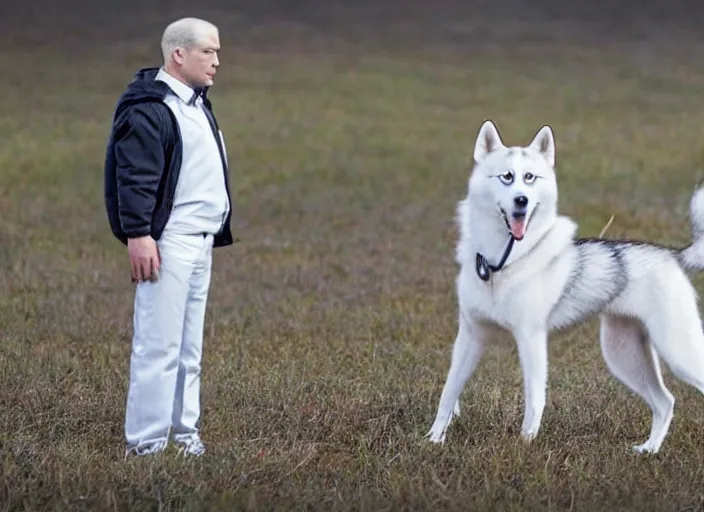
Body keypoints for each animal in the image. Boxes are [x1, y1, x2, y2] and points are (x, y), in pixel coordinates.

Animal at [426, 119, 704, 452]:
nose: (522, 201)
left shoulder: (530, 338)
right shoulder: (470, 335)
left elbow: (535, 398)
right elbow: (448, 392)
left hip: (678, 352)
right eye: (507, 177)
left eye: (529, 178)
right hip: (623, 356)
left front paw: (526, 444)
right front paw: (433, 439)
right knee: (665, 402)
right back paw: (648, 450)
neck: (500, 262)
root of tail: (671, 254)